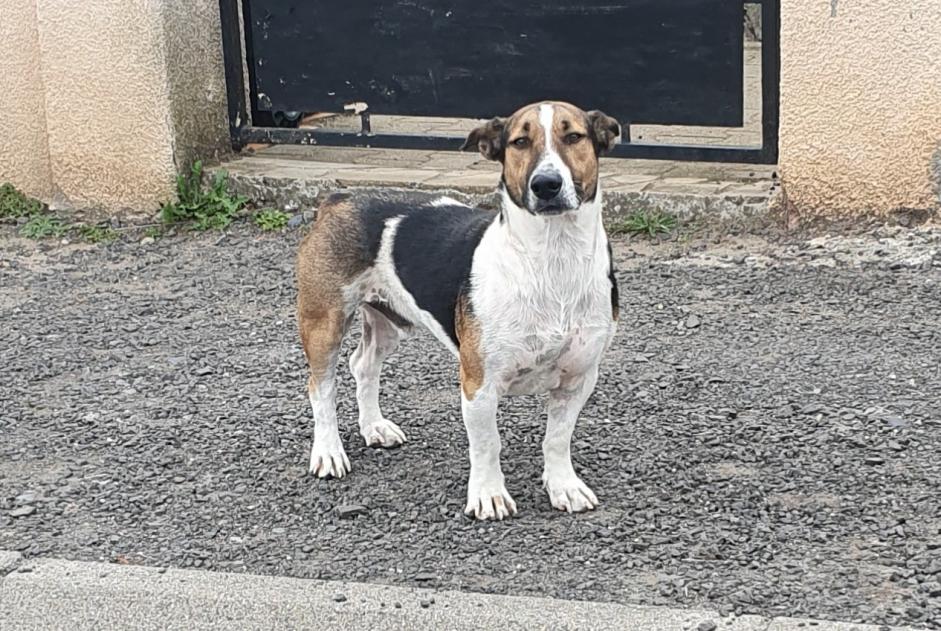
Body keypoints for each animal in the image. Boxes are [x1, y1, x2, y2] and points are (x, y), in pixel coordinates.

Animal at [294, 101, 616, 520]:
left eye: (574, 136)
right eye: (520, 142)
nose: (546, 184)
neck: (551, 260)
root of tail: (340, 199)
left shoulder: (578, 379)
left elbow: (557, 440)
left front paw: (563, 486)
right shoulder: (479, 383)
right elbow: (487, 444)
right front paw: (489, 495)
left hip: (387, 322)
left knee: (362, 365)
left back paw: (375, 427)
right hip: (324, 323)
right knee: (321, 387)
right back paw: (329, 452)